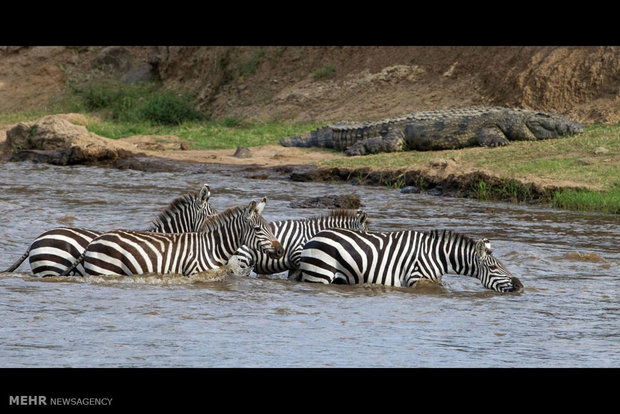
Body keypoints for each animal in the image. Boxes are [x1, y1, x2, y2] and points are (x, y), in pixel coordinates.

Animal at [61, 198, 284, 278]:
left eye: (269, 227)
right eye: (257, 229)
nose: (280, 250)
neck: (212, 247)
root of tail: (94, 241)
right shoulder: (194, 273)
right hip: (103, 271)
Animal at [300, 228, 524, 292]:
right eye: (494, 268)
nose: (520, 286)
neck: (437, 256)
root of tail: (314, 236)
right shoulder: (416, 279)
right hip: (319, 275)